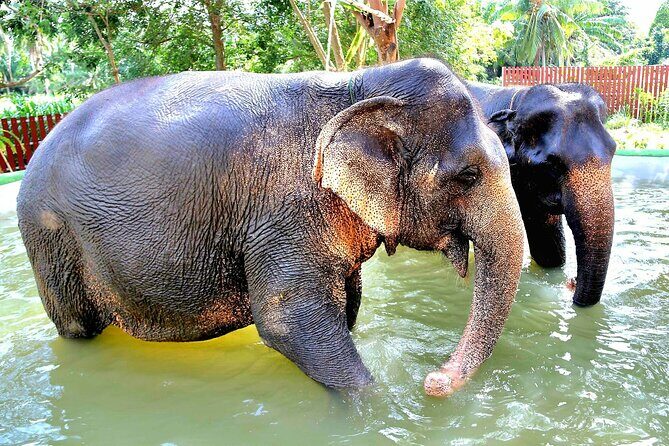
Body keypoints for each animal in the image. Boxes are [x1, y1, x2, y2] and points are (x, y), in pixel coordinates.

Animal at [17, 58, 524, 397]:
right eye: (468, 176)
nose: (432, 380)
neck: (358, 86)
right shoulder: (283, 211)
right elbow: (288, 321)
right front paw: (374, 406)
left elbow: (347, 303)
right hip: (50, 237)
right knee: (76, 326)